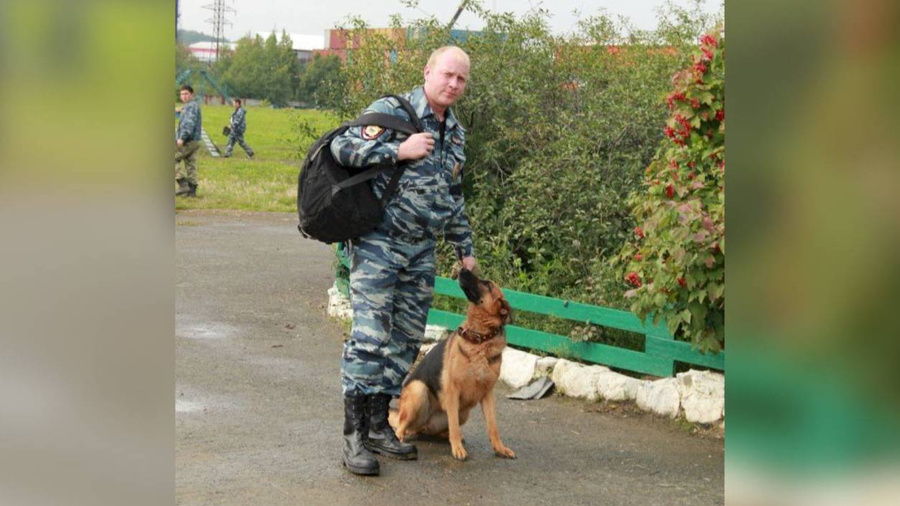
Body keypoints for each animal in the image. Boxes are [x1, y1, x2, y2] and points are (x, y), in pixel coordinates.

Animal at [390, 266, 516, 460]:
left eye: (487, 284)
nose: (463, 268)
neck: (480, 340)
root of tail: (425, 424)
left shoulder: (487, 394)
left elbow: (493, 426)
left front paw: (499, 448)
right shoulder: (452, 391)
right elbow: (454, 426)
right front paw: (457, 449)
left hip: (464, 412)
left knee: (437, 429)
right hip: (419, 391)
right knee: (401, 426)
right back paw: (400, 438)